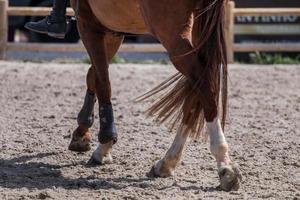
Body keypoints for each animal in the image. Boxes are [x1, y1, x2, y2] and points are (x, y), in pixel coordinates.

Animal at [67, 0, 241, 191]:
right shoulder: (112, 30)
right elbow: (93, 76)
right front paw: (84, 134)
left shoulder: (87, 23)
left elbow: (101, 81)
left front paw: (102, 142)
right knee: (195, 92)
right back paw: (167, 162)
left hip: (172, 34)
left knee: (202, 82)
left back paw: (225, 166)